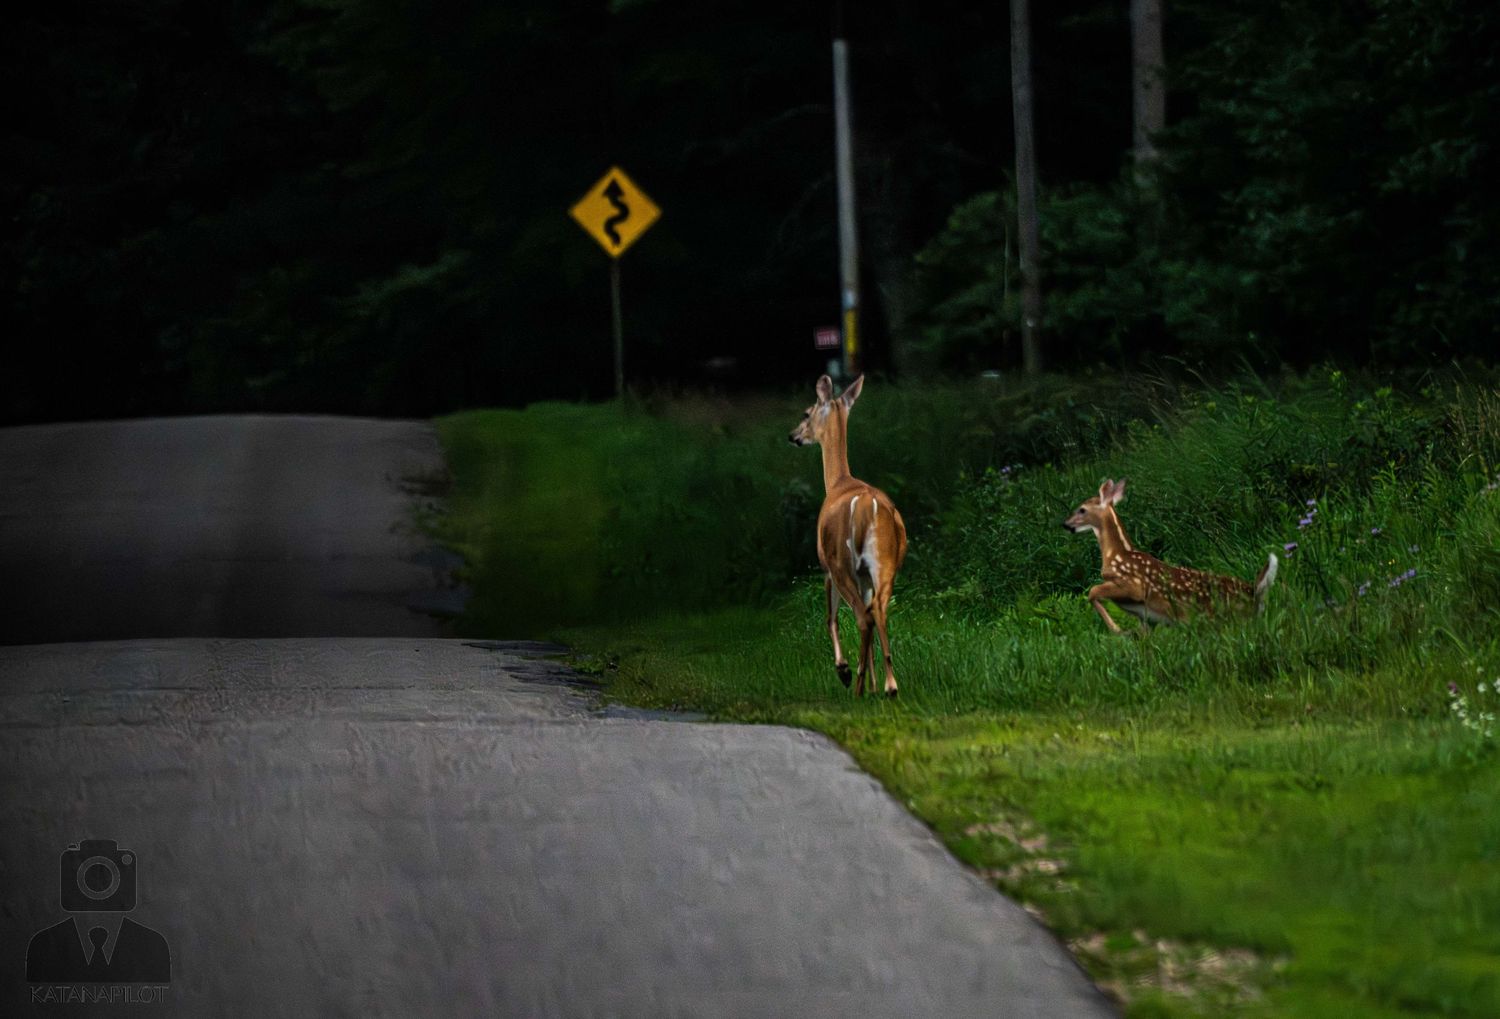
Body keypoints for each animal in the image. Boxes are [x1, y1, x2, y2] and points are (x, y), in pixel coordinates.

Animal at [788, 374, 908, 697]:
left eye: (806, 412)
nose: (793, 435)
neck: (838, 482)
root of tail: (867, 506)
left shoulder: (825, 566)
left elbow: (830, 618)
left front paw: (844, 670)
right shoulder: (865, 575)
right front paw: (874, 684)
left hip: (842, 562)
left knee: (862, 617)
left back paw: (855, 684)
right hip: (884, 563)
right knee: (877, 609)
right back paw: (889, 686)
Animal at [1063, 478, 1277, 633]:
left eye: (1082, 509)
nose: (1065, 524)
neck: (1117, 555)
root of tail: (1255, 592)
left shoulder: (1133, 586)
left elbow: (1092, 591)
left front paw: (1117, 630)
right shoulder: (1145, 618)